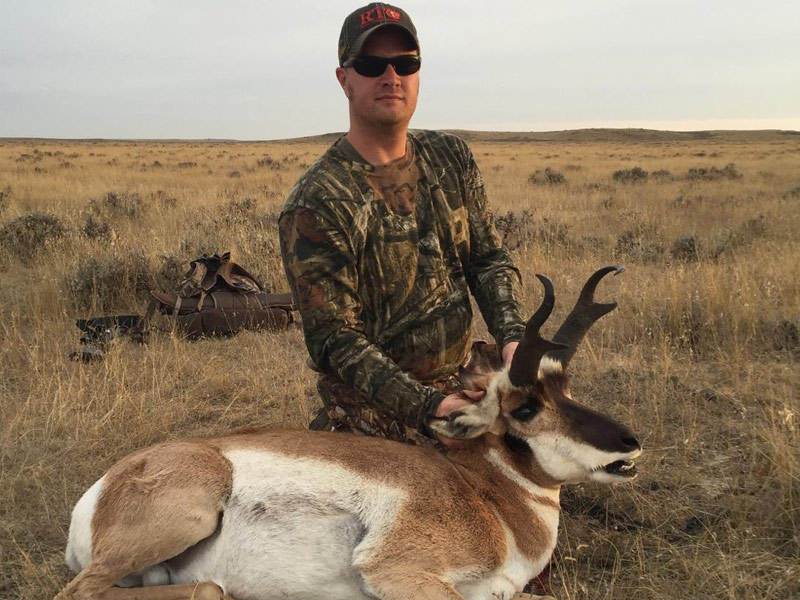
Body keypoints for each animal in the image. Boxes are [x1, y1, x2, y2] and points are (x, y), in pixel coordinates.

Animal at [56, 268, 640, 600]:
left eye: (566, 387)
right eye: (524, 407)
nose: (629, 445)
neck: (486, 495)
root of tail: (101, 488)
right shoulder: (399, 573)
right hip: (192, 514)